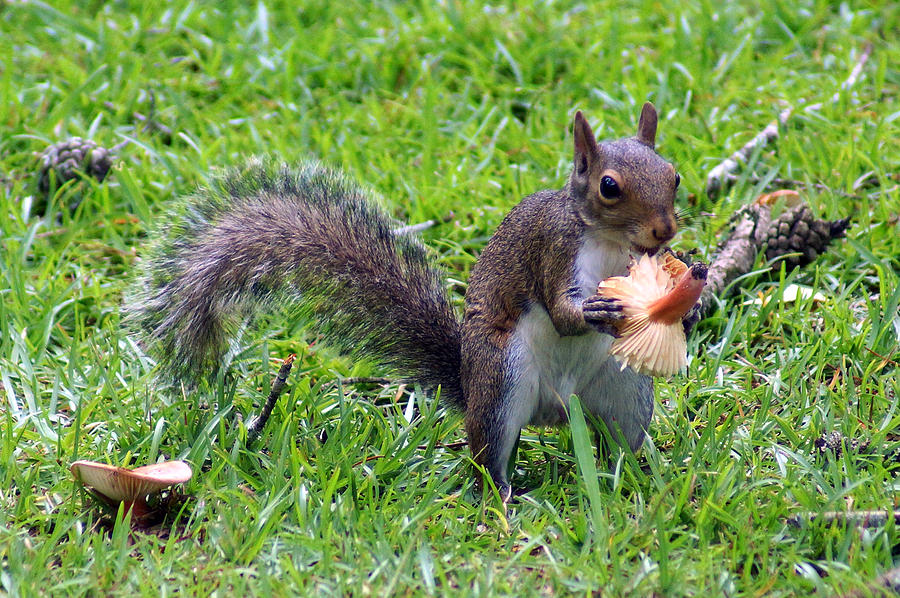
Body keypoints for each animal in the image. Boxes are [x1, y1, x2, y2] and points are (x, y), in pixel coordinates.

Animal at [128, 102, 688, 502]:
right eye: (609, 187)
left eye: (674, 175)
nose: (664, 231)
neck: (613, 244)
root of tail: (553, 409)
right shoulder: (553, 249)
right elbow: (562, 311)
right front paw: (595, 311)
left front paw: (690, 284)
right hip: (504, 380)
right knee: (487, 457)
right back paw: (506, 496)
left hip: (625, 390)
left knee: (618, 439)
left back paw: (637, 473)